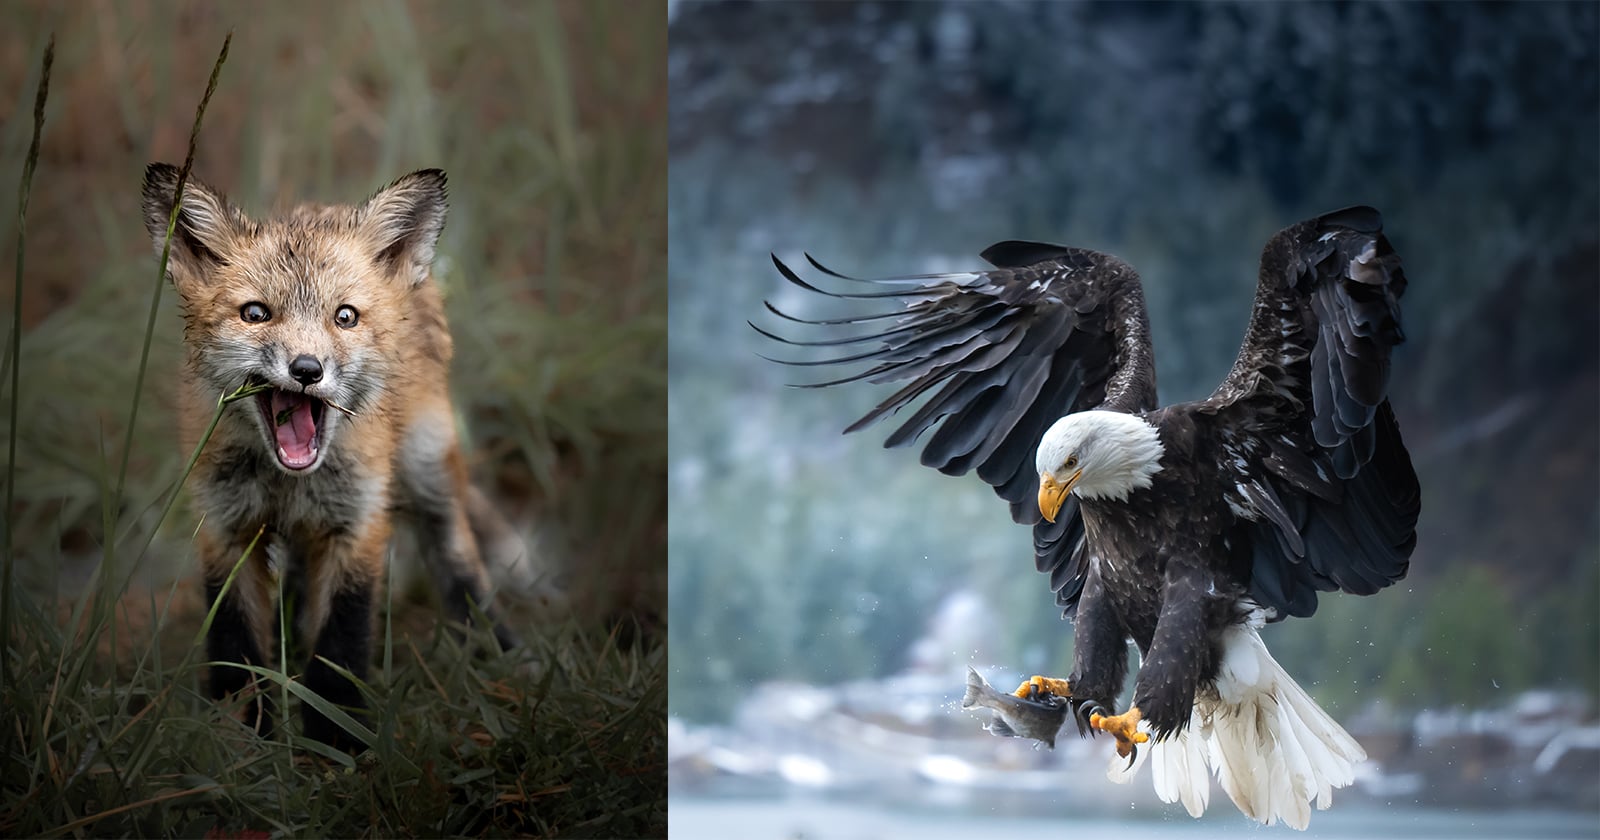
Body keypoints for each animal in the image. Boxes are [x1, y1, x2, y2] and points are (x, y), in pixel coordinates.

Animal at [141, 163, 521, 750]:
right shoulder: (225, 528)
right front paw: (242, 739)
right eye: (256, 313)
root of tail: (323, 206)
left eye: (344, 317)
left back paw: (494, 652)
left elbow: (340, 643)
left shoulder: (357, 523)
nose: (306, 369)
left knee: (458, 559)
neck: (289, 482)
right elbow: (237, 649)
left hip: (426, 469)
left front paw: (336, 739)